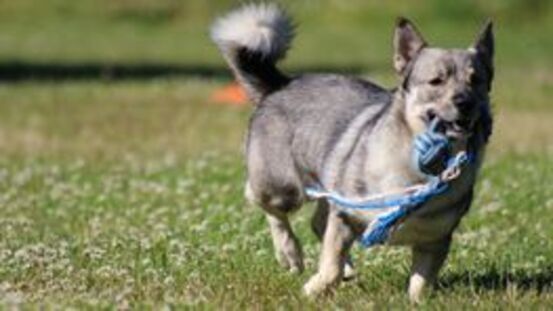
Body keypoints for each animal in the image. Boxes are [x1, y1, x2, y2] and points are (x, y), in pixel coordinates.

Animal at [210, 3, 492, 304]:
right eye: (436, 81)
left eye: (476, 81)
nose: (465, 102)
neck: (418, 173)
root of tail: (281, 84)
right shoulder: (345, 216)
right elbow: (330, 265)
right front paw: (313, 290)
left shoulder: (435, 241)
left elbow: (421, 282)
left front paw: (417, 302)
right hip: (284, 188)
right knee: (263, 202)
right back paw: (290, 254)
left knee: (317, 222)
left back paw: (341, 265)